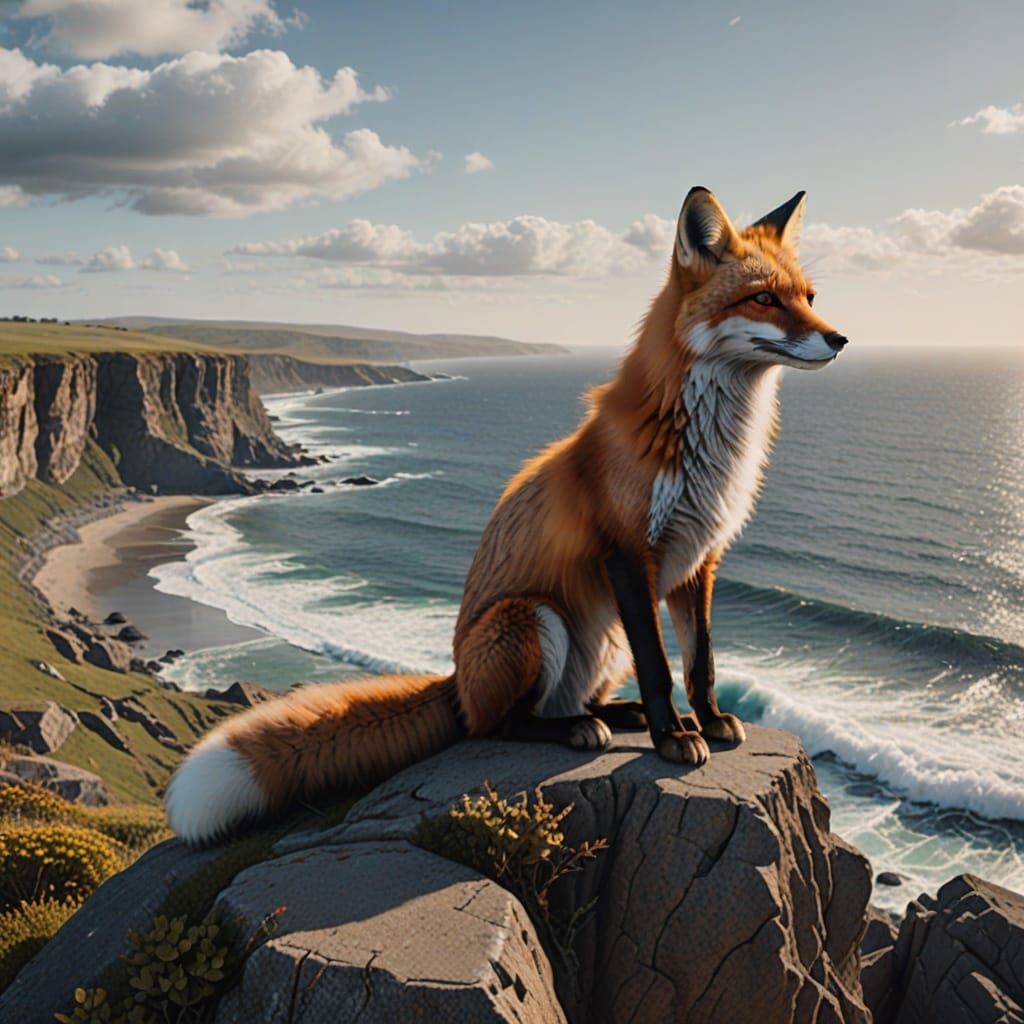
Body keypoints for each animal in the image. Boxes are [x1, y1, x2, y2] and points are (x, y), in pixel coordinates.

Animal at [166, 187, 849, 845]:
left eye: (809, 297)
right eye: (764, 299)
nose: (840, 339)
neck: (702, 446)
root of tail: (455, 681)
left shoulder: (698, 560)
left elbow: (700, 663)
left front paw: (705, 720)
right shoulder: (629, 556)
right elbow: (660, 669)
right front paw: (673, 738)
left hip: (603, 639)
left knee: (556, 705)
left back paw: (607, 714)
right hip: (531, 619)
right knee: (497, 725)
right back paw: (579, 729)